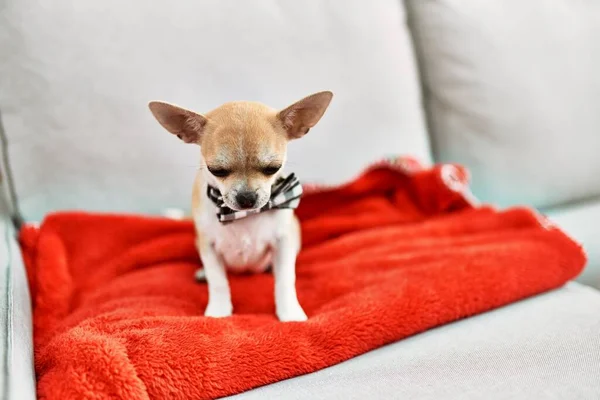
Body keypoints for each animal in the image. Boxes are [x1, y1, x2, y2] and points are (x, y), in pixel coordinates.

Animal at [146, 91, 332, 322]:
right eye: (216, 170)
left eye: (273, 168)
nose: (246, 197)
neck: (242, 216)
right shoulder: (208, 245)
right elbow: (218, 281)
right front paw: (218, 311)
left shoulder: (284, 241)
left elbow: (285, 280)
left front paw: (289, 313)